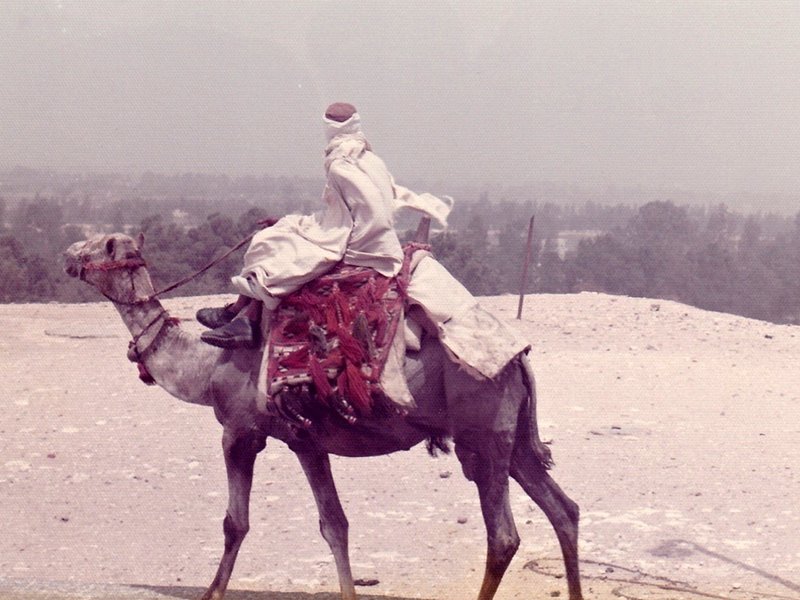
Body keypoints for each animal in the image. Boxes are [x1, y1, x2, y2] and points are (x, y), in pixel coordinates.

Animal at [62, 232, 580, 600]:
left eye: (97, 243)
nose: (67, 255)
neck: (205, 366)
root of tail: (519, 359)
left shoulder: (240, 431)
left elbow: (235, 523)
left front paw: (210, 592)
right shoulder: (304, 439)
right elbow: (335, 524)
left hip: (480, 431)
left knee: (504, 536)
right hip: (512, 438)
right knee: (563, 510)